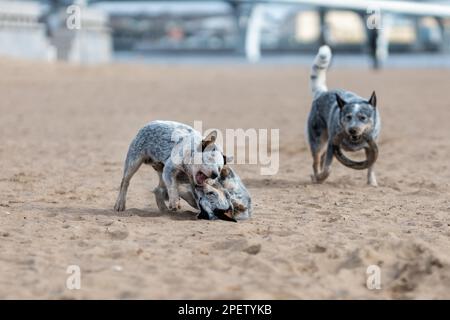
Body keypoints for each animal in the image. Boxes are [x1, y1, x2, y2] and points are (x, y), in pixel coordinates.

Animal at [306, 44, 380, 185]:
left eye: (363, 118)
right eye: (348, 117)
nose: (352, 130)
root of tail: (322, 93)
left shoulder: (371, 147)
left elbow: (371, 165)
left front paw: (372, 182)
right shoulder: (332, 143)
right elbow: (328, 168)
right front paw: (321, 177)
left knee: (321, 159)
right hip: (318, 140)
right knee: (316, 160)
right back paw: (317, 177)